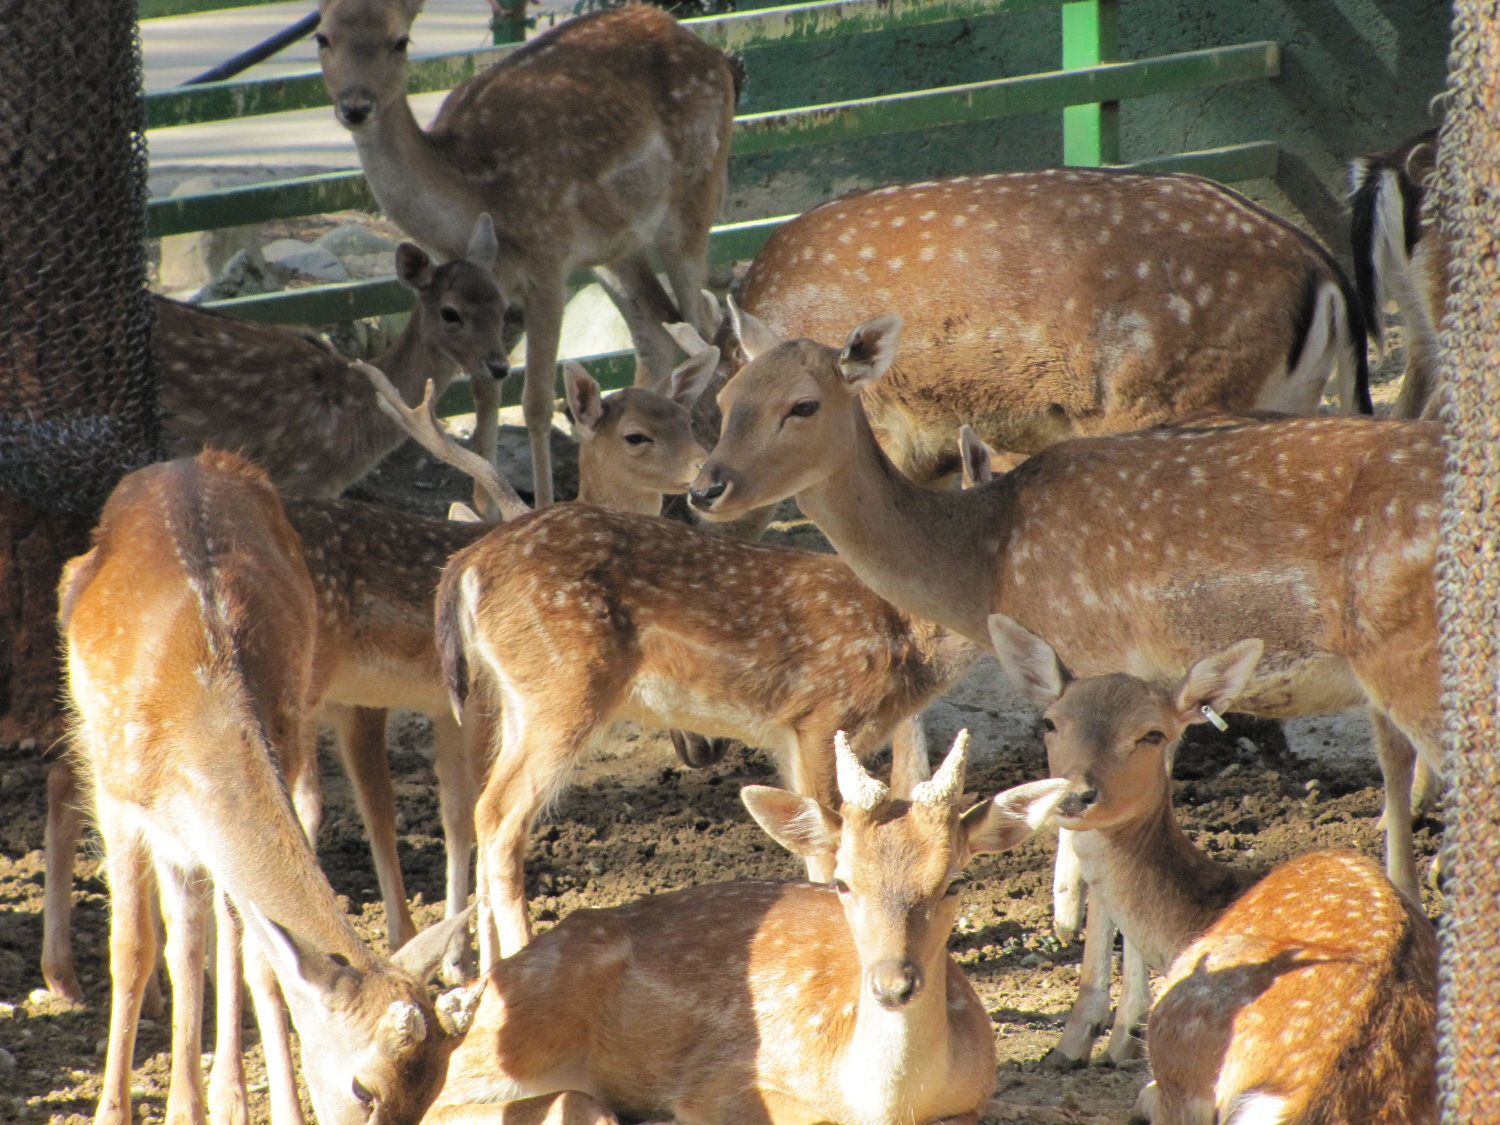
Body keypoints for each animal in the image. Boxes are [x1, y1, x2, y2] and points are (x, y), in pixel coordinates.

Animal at [38, 350, 718, 1003]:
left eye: (689, 420)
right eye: (637, 435)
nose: (705, 475)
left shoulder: (444, 707)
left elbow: (451, 812)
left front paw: (456, 954)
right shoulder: (479, 702)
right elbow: (471, 811)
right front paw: (469, 960)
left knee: (76, 775)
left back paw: (102, 979)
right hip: (296, 690)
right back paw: (83, 975)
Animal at [60, 450, 470, 1125]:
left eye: (434, 1089)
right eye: (363, 1088)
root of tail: (186, 460)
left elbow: (255, 957)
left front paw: (261, 1107)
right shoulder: (119, 797)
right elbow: (135, 947)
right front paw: (121, 1111)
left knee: (224, 937)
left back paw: (227, 1094)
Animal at [314, 0, 741, 506]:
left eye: (400, 41)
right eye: (322, 36)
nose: (356, 106)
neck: (472, 190)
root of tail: (717, 56)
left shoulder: (548, 256)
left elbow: (534, 401)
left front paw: (541, 503)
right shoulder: (481, 284)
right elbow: (484, 391)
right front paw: (485, 508)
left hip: (696, 198)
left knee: (702, 325)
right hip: (615, 248)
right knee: (659, 333)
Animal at [423, 732, 1071, 1125]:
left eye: (955, 881)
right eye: (842, 882)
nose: (893, 984)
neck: (886, 1103)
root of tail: (481, 988)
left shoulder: (975, 1095)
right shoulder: (728, 1085)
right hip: (515, 1031)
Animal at [686, 312, 1444, 924]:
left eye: (802, 405)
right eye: (723, 401)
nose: (705, 487)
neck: (984, 562)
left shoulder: (1094, 648)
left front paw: (1069, 932)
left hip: (1411, 656)